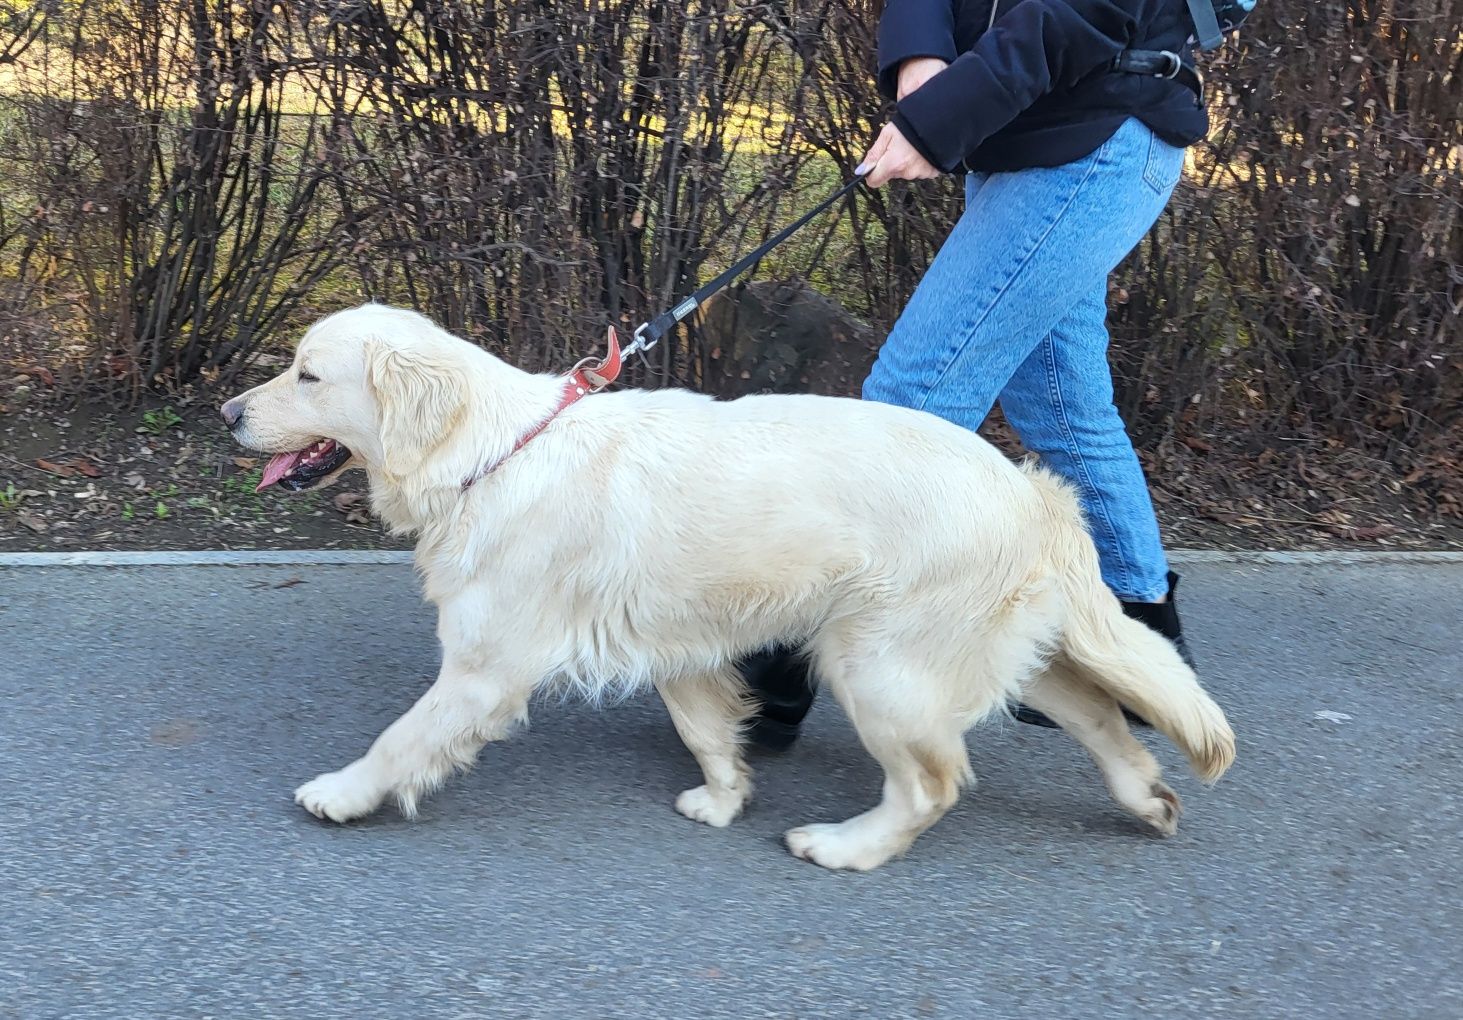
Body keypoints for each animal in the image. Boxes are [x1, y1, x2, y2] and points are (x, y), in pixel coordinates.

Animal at [222, 302, 1234, 866]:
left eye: (307, 374)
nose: (229, 411)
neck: (491, 453)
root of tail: (1030, 491)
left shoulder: (483, 668)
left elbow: (401, 740)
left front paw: (344, 792)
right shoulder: (668, 636)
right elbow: (703, 722)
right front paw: (723, 794)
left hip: (877, 663)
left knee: (932, 785)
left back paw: (843, 848)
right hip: (993, 648)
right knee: (1098, 711)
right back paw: (1144, 797)